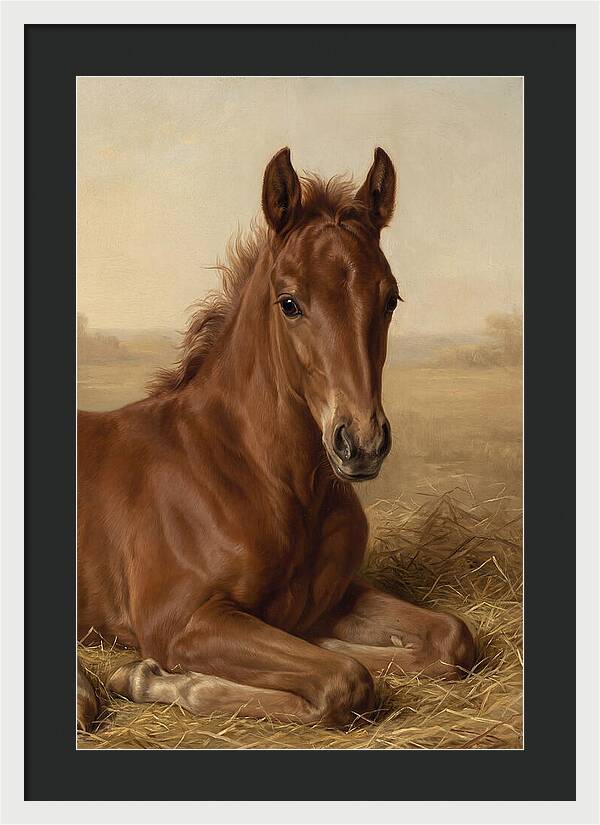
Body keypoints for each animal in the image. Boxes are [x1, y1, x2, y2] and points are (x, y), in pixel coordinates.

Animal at [77, 147, 476, 732]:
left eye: (391, 299)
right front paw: (150, 677)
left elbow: (450, 639)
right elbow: (344, 679)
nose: (362, 443)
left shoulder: (334, 597)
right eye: (289, 303)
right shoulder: (180, 621)